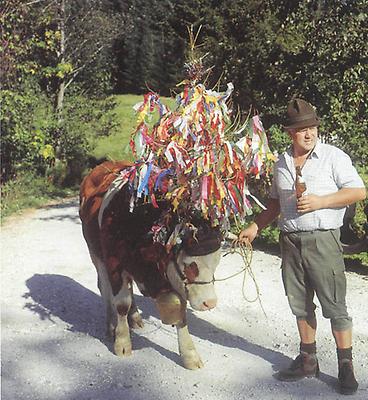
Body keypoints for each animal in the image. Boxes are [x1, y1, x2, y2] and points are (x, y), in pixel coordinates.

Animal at [80, 159, 221, 368]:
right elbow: (121, 303)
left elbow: (179, 310)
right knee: (104, 289)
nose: (210, 303)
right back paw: (111, 325)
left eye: (216, 263)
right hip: (96, 254)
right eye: (189, 264)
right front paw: (122, 342)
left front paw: (189, 354)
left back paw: (135, 317)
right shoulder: (114, 263)